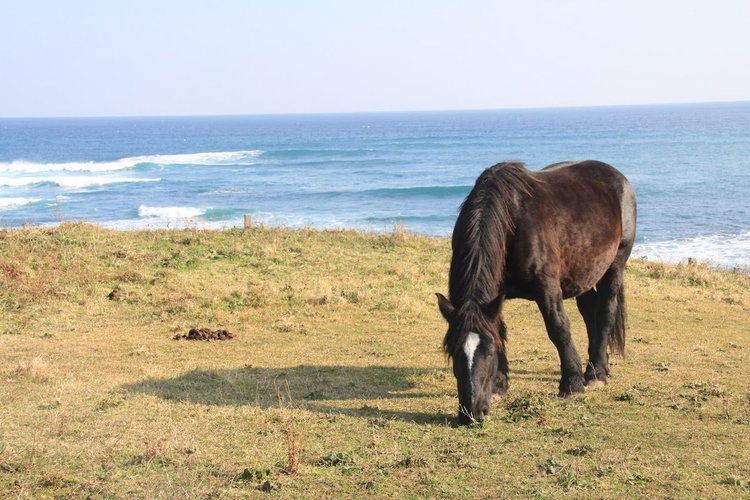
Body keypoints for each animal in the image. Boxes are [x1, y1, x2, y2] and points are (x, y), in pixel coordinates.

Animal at [438, 160, 636, 426]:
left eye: (487, 350)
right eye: (452, 351)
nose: (471, 414)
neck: (511, 221)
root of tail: (617, 176)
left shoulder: (547, 288)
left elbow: (558, 329)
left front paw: (571, 384)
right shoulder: (496, 297)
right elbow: (501, 330)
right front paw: (499, 385)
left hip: (615, 266)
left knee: (605, 312)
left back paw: (597, 374)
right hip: (583, 274)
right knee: (590, 313)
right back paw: (595, 366)